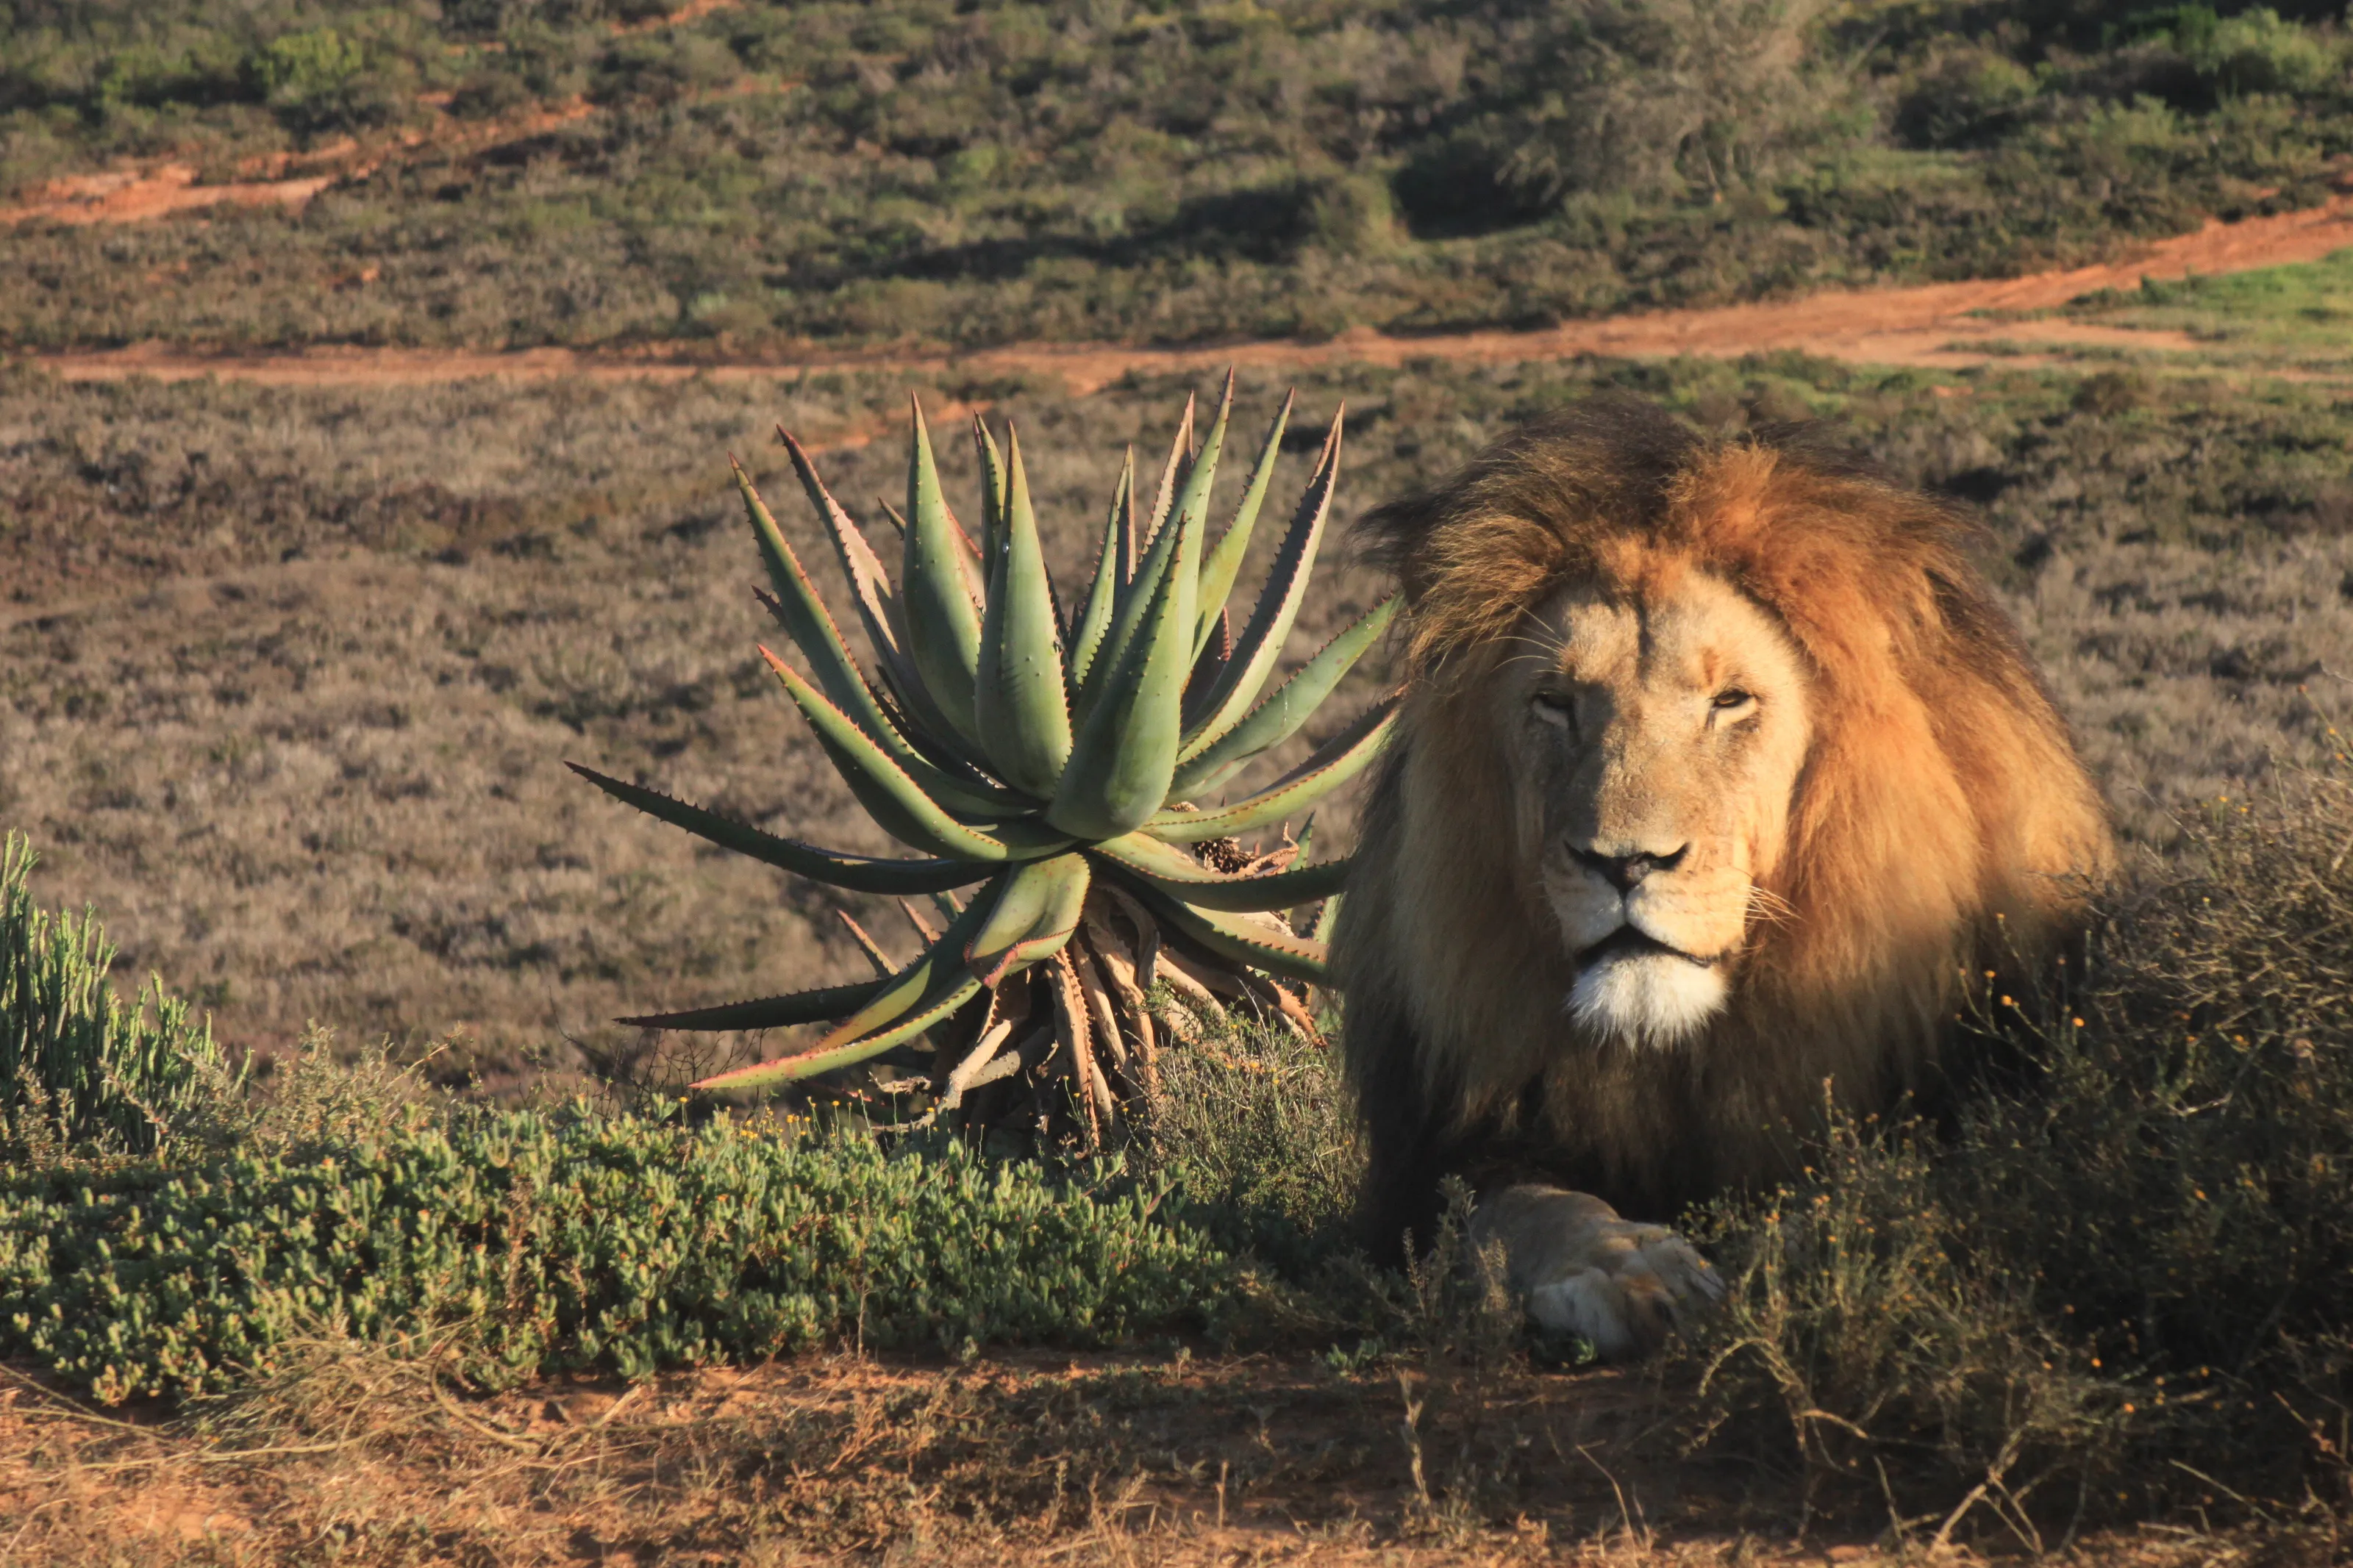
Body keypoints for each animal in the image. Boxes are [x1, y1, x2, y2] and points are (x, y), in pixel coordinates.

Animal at [1335, 399, 2112, 1360]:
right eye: (1554, 703)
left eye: (1728, 701)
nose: (1624, 862)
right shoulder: (1438, 1161)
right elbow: (1530, 1210)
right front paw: (1630, 1270)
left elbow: (1868, 1195)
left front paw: (1781, 1254)